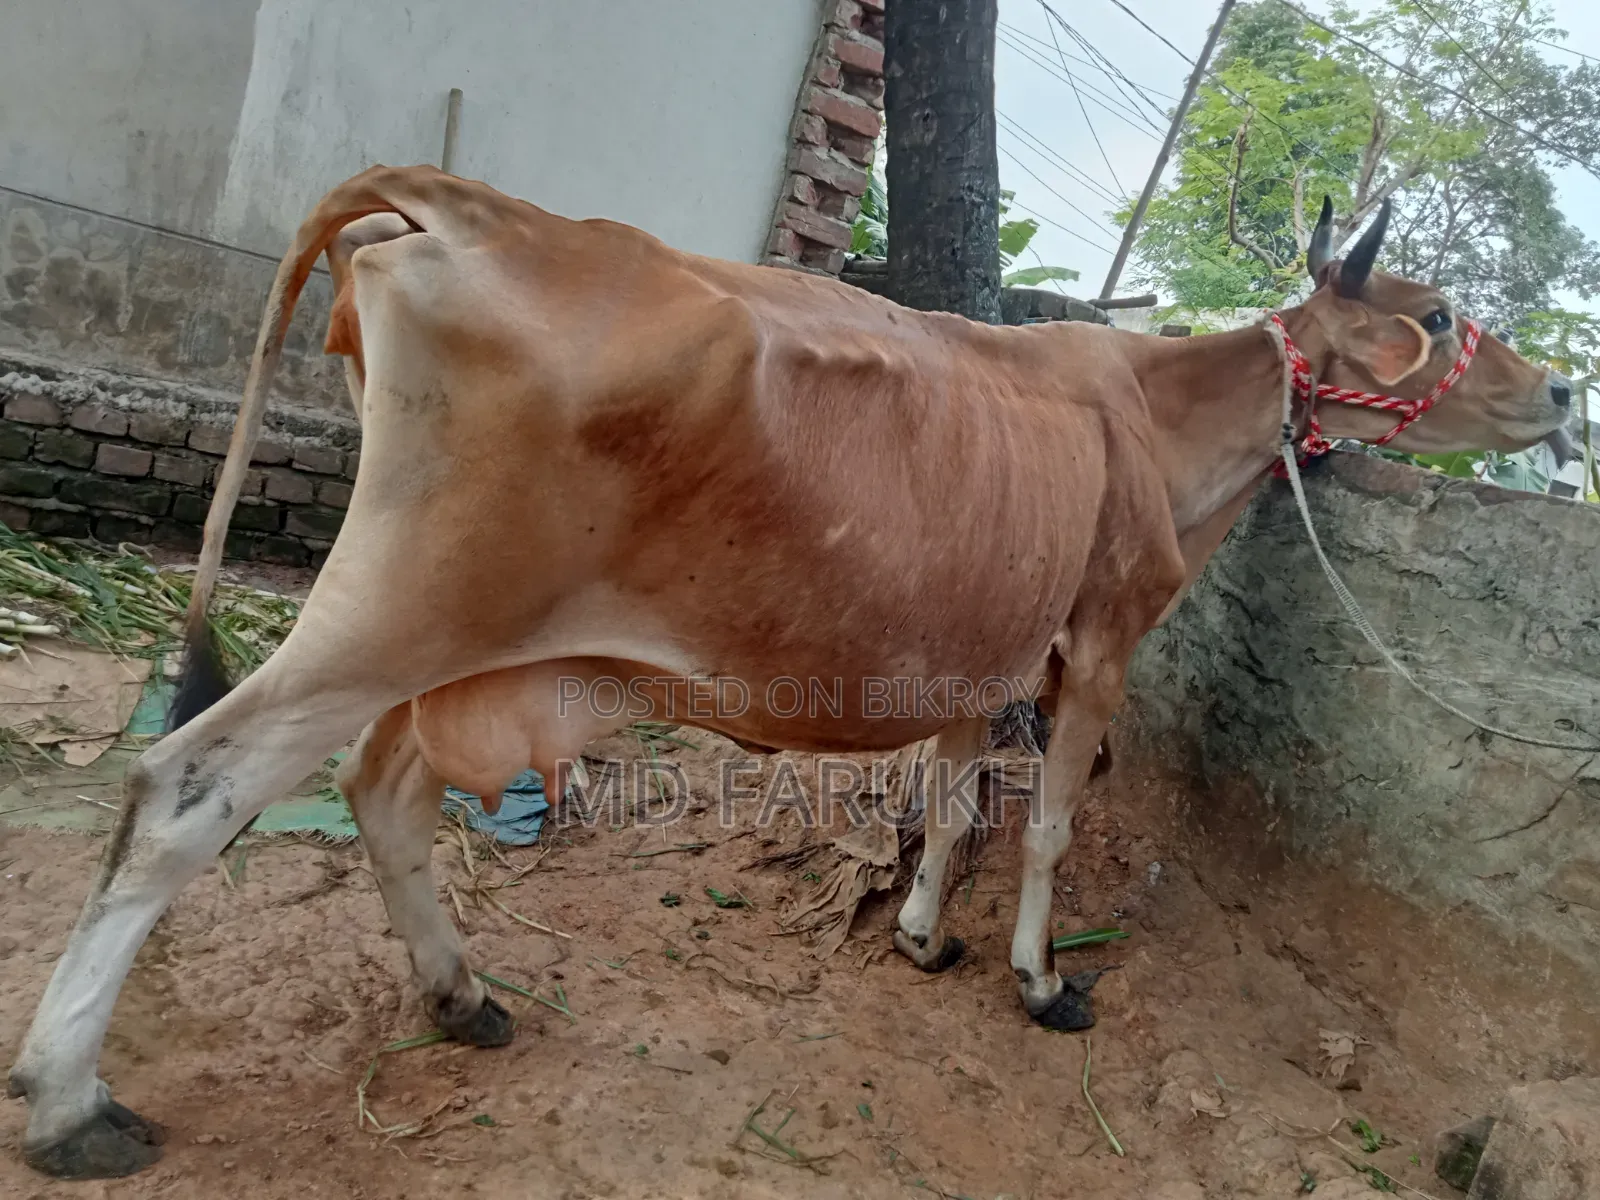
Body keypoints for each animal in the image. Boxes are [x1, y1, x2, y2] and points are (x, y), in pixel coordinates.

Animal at [7, 165, 1572, 1178]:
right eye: (1439, 316)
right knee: (186, 789)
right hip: (404, 611)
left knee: (382, 785)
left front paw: (923, 934)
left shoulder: (978, 655)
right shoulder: (1104, 643)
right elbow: (1049, 826)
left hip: (458, 644)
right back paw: (72, 1102)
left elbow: (950, 801)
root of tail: (452, 203)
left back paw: (464, 999)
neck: (1156, 415)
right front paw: (1037, 980)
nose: (1562, 389)